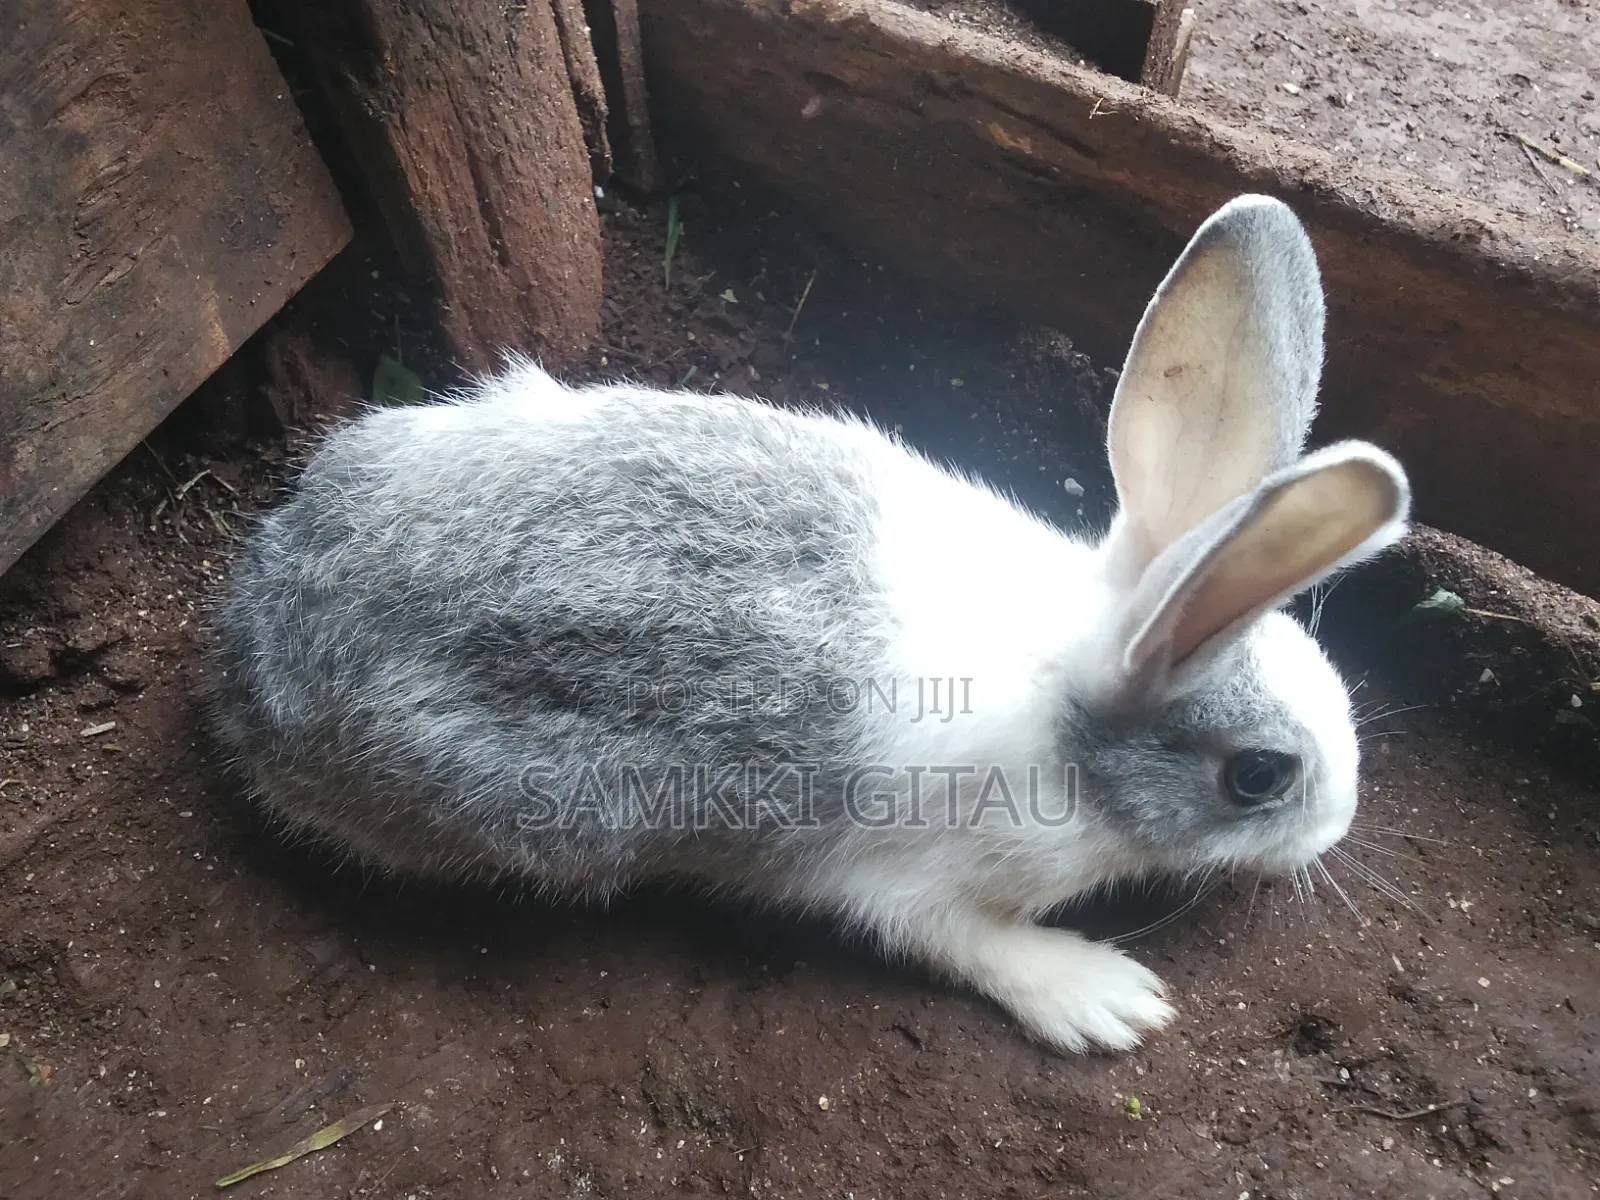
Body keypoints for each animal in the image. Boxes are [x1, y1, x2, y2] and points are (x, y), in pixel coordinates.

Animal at [210, 194, 1410, 1054]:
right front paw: (1109, 1000)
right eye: (1259, 776)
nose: (1336, 828)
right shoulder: (920, 879)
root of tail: (248, 665)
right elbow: (966, 942)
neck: (1069, 703)